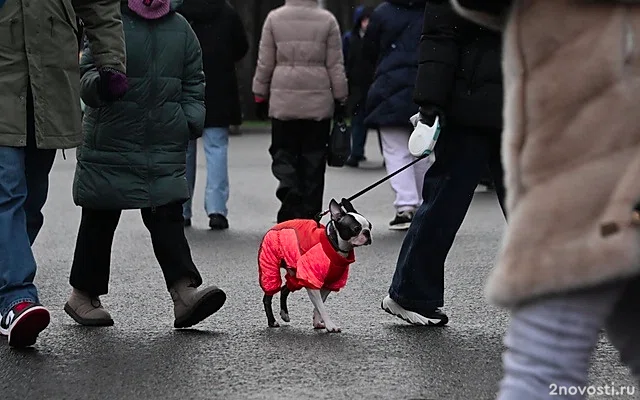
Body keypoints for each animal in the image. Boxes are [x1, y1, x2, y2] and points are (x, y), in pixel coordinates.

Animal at [258, 198, 372, 332]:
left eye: (370, 226)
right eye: (356, 228)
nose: (367, 233)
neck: (334, 245)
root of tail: (275, 227)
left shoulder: (329, 284)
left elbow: (319, 306)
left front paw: (318, 322)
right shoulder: (312, 282)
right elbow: (321, 307)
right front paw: (330, 325)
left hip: (296, 276)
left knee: (284, 289)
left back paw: (284, 314)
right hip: (270, 268)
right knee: (268, 296)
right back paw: (272, 321)